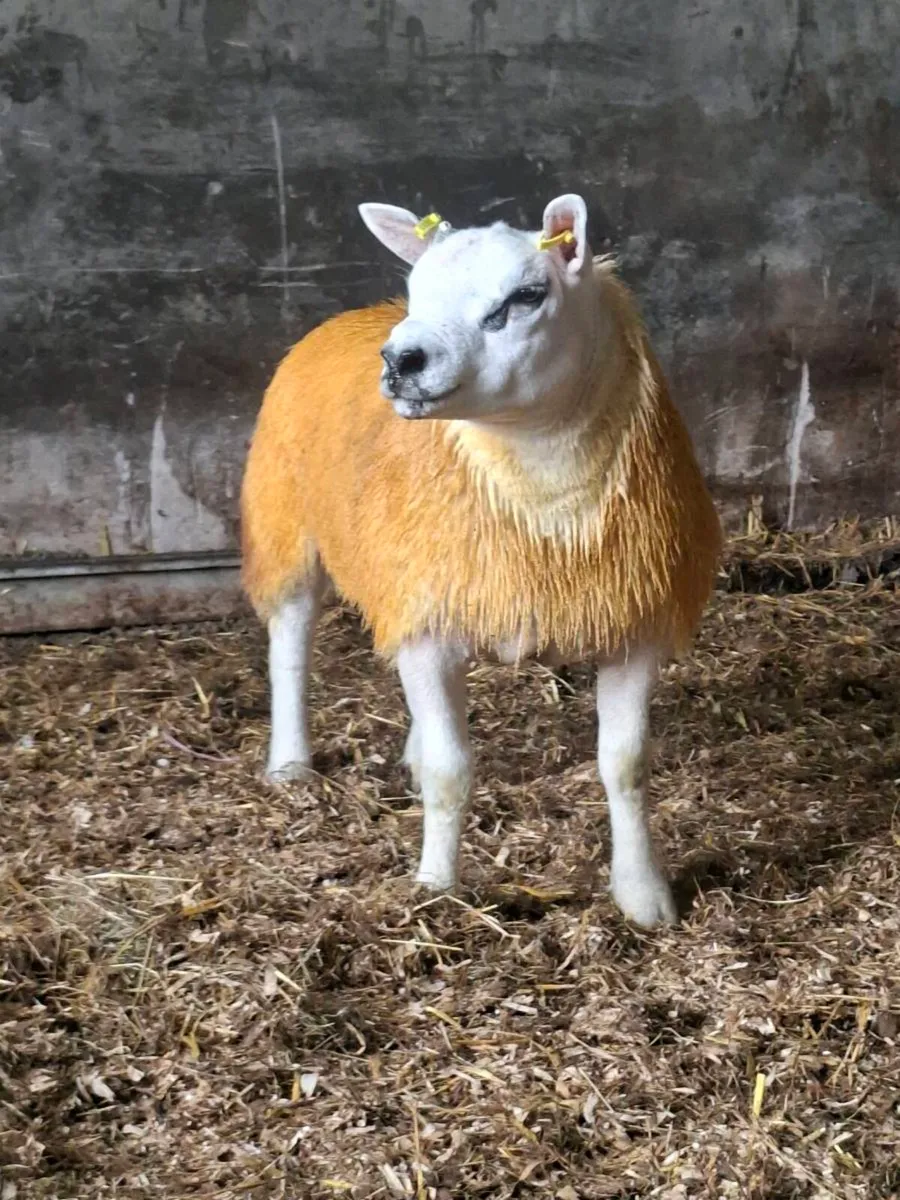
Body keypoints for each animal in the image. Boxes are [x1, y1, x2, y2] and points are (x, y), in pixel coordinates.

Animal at [240, 193, 722, 927]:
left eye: (526, 295)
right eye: (416, 290)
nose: (401, 360)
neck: (546, 495)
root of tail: (353, 316)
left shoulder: (632, 622)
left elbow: (626, 765)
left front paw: (644, 897)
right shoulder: (428, 624)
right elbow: (452, 771)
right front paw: (435, 889)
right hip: (288, 523)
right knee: (290, 647)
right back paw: (291, 764)